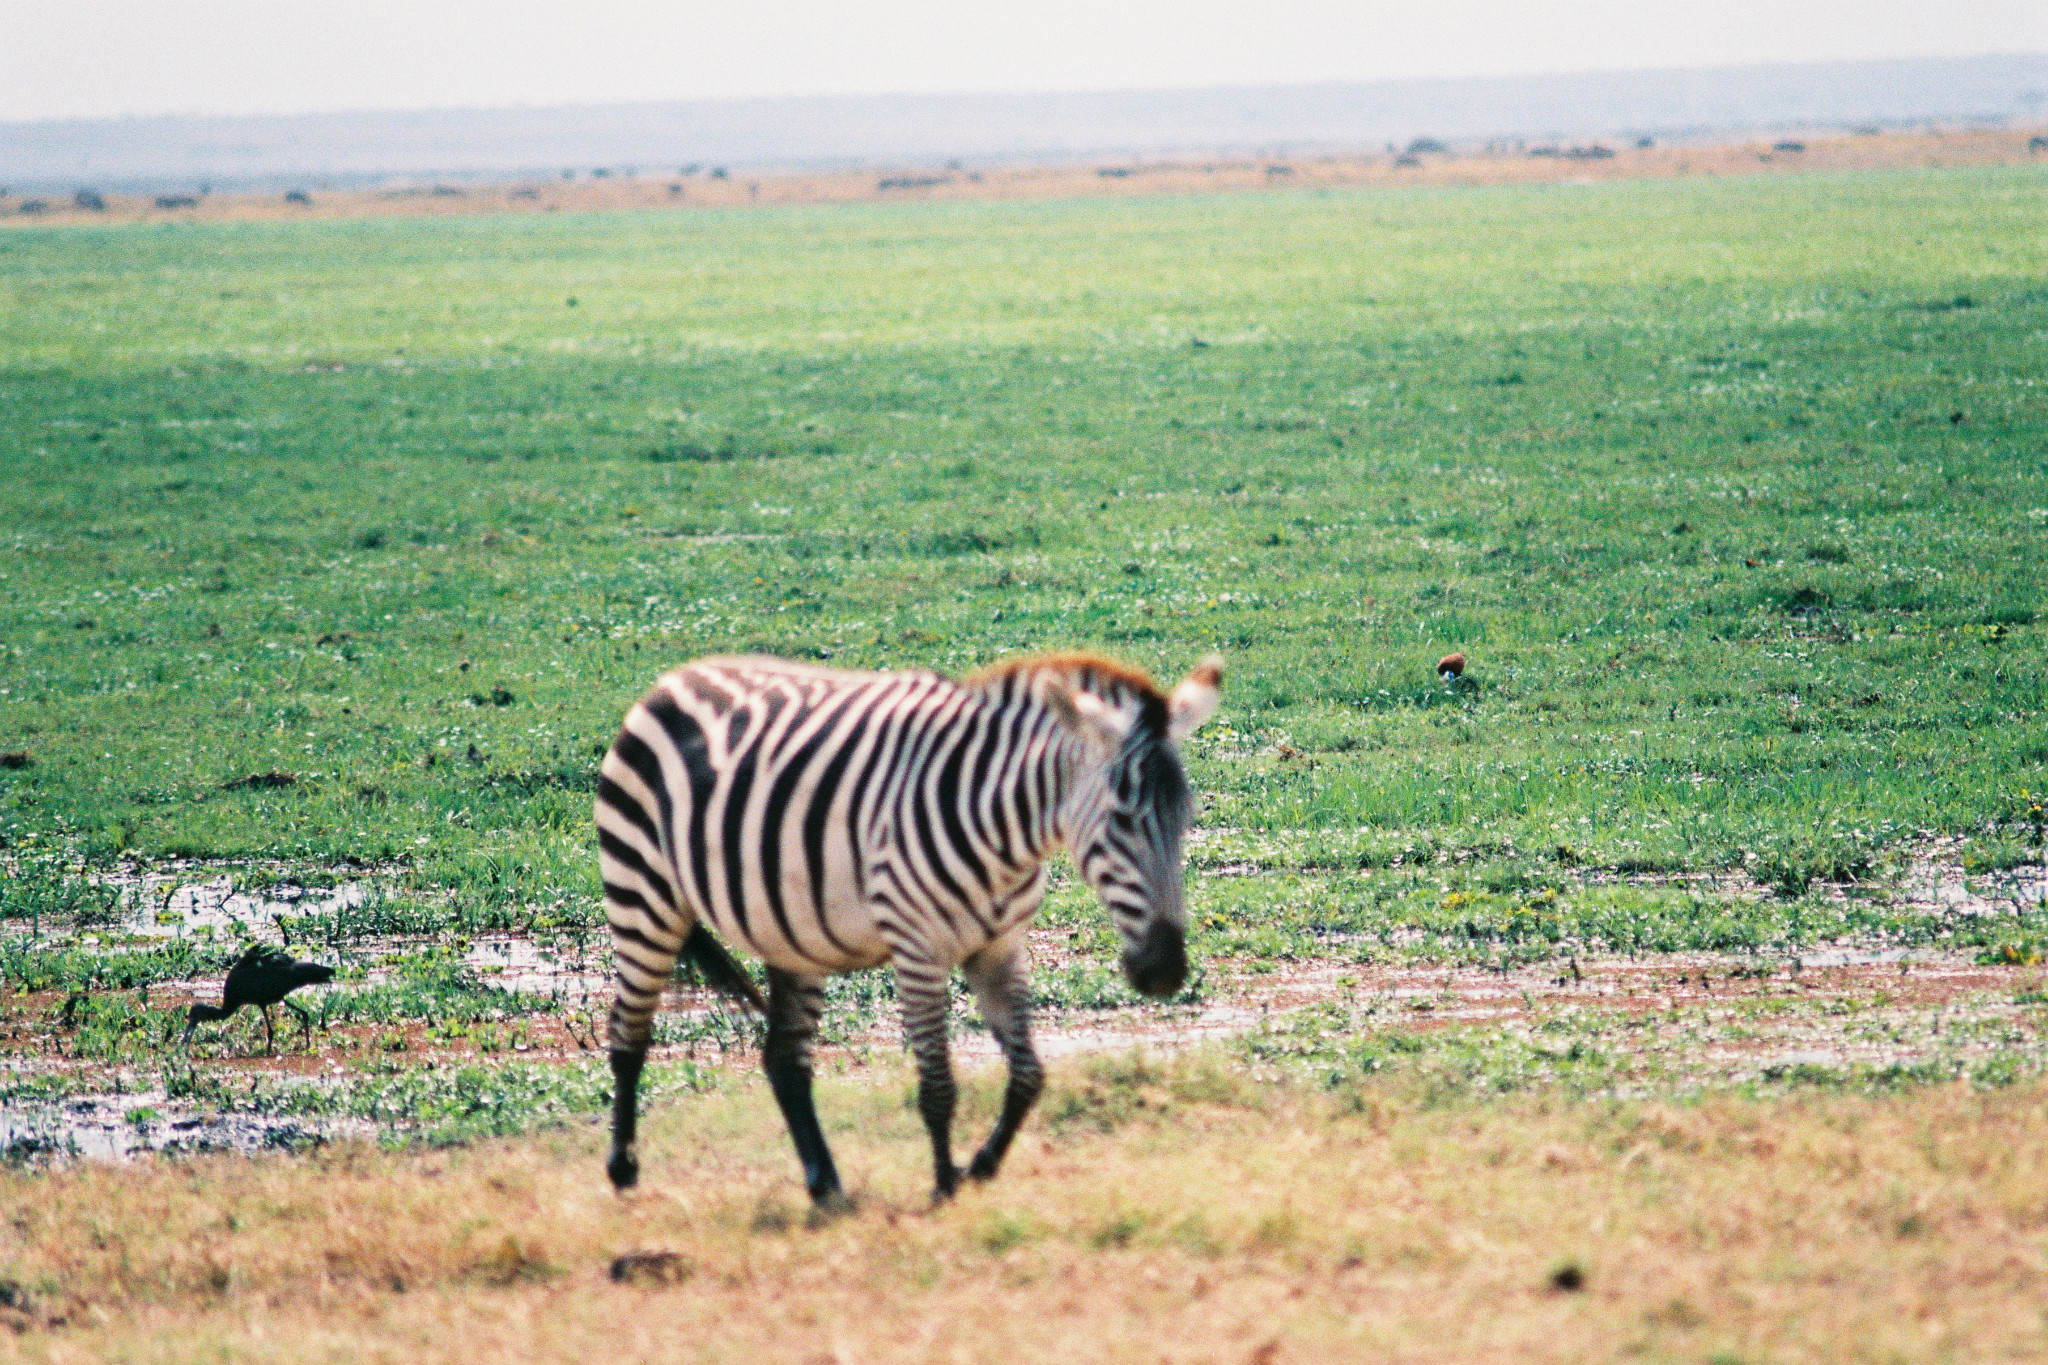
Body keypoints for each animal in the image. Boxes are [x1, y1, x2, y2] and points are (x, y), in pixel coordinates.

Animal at [598, 650, 1220, 1203]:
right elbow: (939, 1087)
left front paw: (981, 1167)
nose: (1165, 970)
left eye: (1187, 817)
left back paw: (825, 1185)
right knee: (628, 1033)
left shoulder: (1000, 947)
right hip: (642, 894)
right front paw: (945, 1184)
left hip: (792, 934)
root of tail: (672, 679)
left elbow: (1027, 1076)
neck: (1006, 833)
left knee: (785, 1060)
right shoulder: (918, 950)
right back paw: (623, 1170)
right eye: (1121, 819)